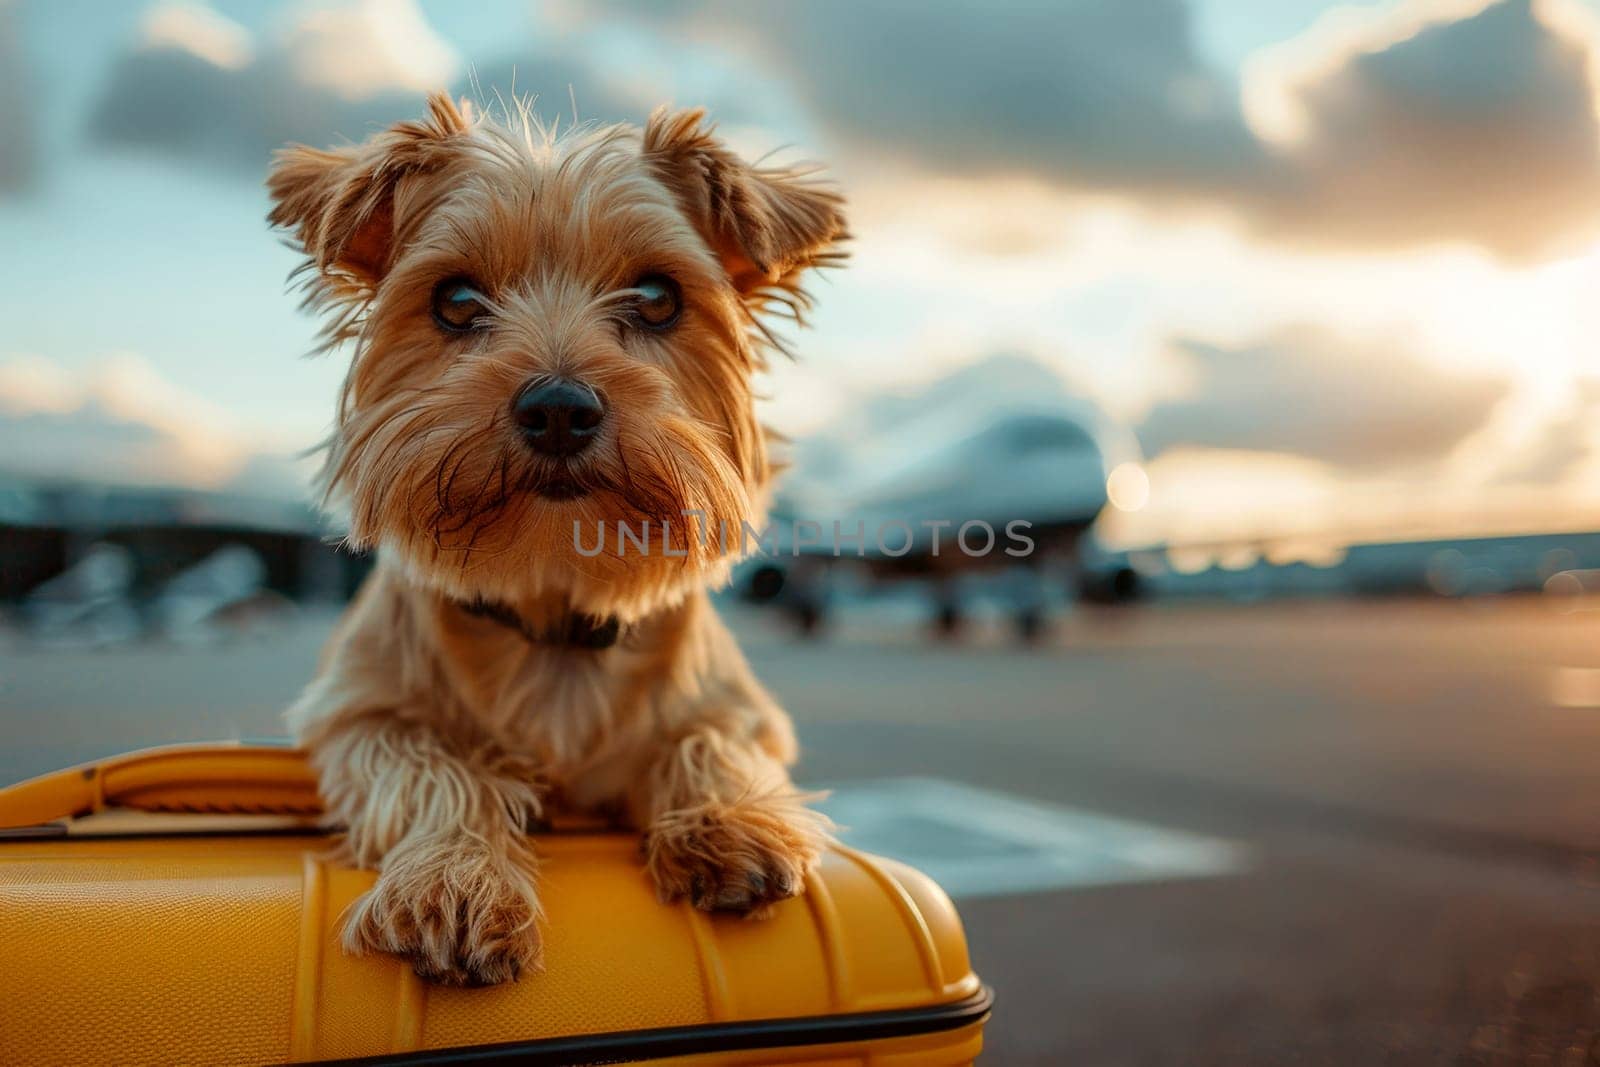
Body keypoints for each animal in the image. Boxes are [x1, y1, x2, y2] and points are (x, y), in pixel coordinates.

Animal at [272, 91, 851, 985]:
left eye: (656, 297)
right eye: (456, 301)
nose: (557, 407)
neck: (552, 615)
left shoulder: (739, 708)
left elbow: (711, 739)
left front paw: (729, 822)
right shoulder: (358, 714)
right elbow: (437, 770)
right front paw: (455, 880)